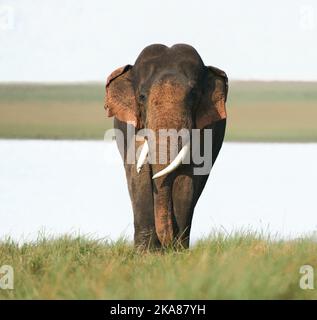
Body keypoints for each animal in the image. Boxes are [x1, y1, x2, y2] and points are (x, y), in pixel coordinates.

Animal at [103, 44, 227, 250]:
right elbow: (138, 175)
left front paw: (177, 251)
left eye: (194, 95)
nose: (166, 244)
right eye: (142, 96)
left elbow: (187, 179)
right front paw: (146, 253)